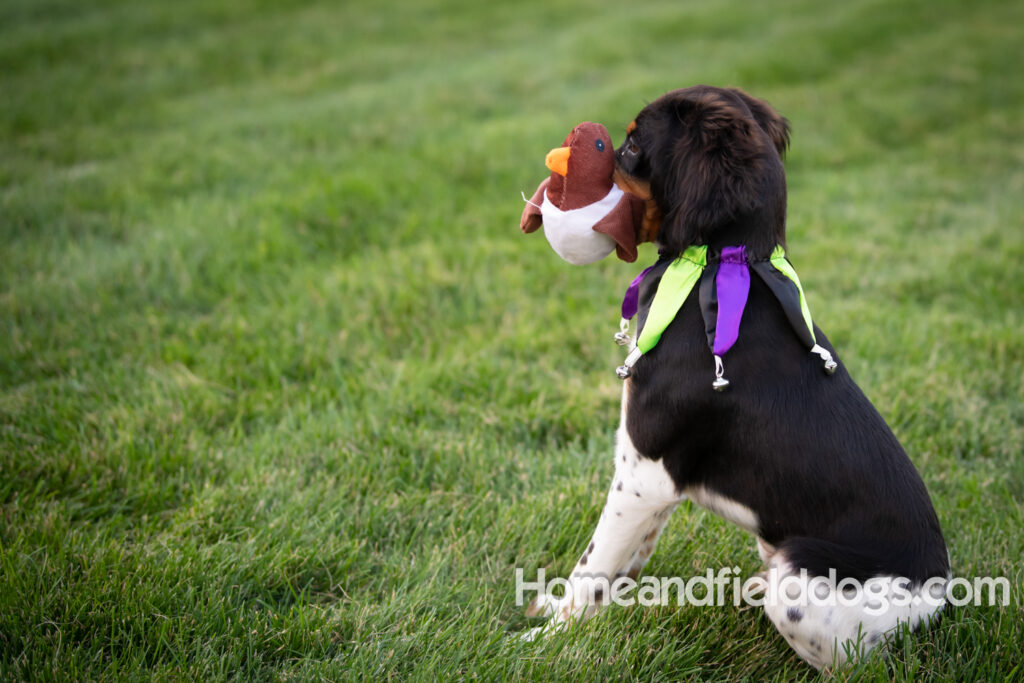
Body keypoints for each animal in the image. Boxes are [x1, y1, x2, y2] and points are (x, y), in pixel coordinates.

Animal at [528, 83, 950, 667]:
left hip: (799, 572)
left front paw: (544, 644)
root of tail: (937, 606)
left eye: (631, 145)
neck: (717, 269)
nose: (561, 169)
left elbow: (592, 567)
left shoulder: (642, 472)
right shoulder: (653, 486)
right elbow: (623, 565)